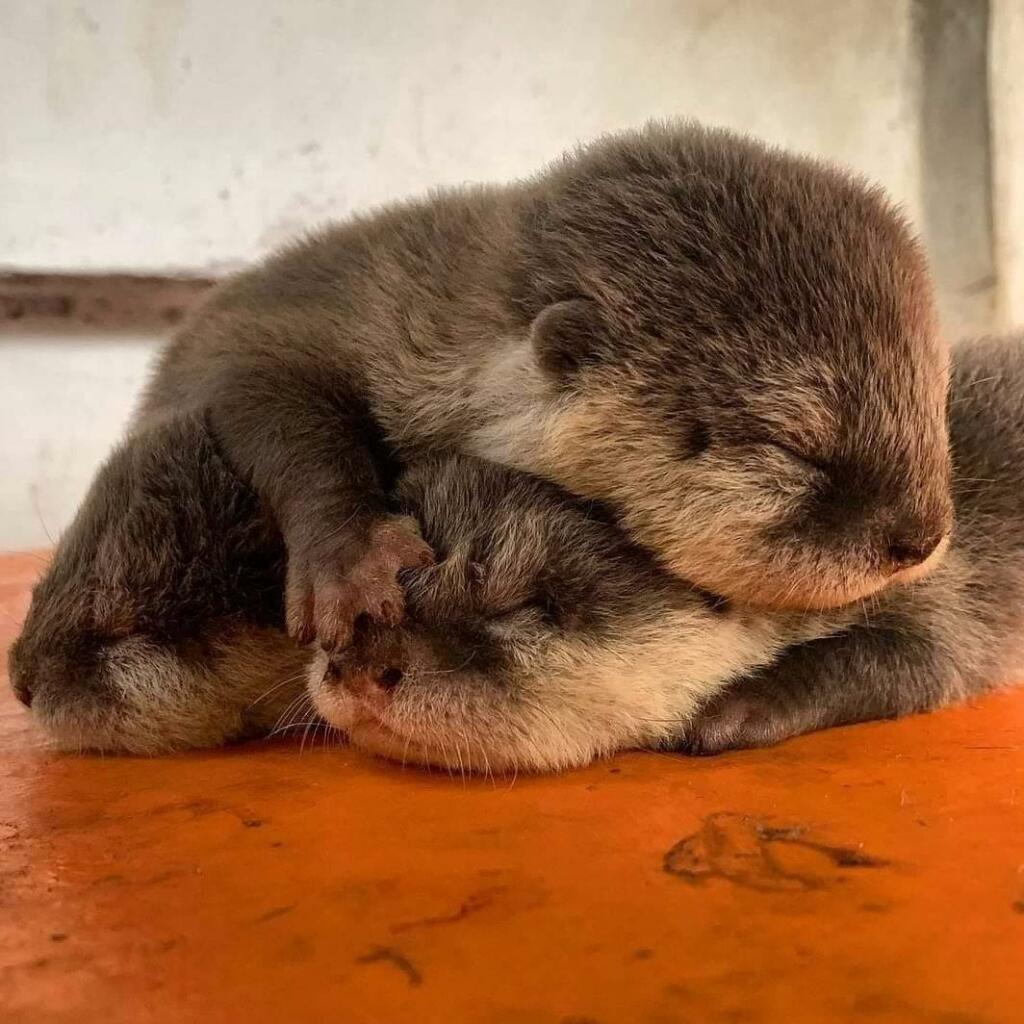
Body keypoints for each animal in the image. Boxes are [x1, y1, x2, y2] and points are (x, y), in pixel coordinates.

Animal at [138, 117, 950, 647]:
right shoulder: (315, 317)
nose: (919, 538)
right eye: (792, 448)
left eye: (933, 407)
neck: (453, 337)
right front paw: (352, 555)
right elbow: (262, 389)